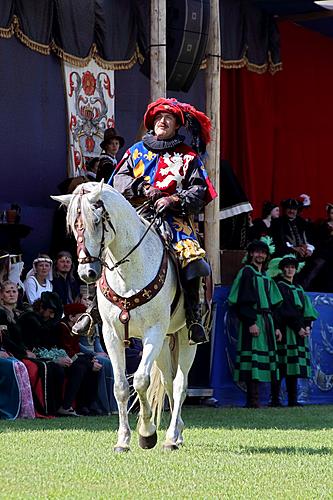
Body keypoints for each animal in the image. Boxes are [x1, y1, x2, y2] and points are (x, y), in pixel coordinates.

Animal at [51, 182, 197, 452]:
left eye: (96, 221)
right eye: (73, 225)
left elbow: (140, 380)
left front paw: (147, 433)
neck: (130, 270)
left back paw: (172, 436)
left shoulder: (153, 332)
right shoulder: (112, 335)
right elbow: (120, 387)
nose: (87, 272)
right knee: (169, 383)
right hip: (164, 342)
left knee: (180, 385)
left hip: (184, 337)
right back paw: (177, 434)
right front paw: (123, 440)